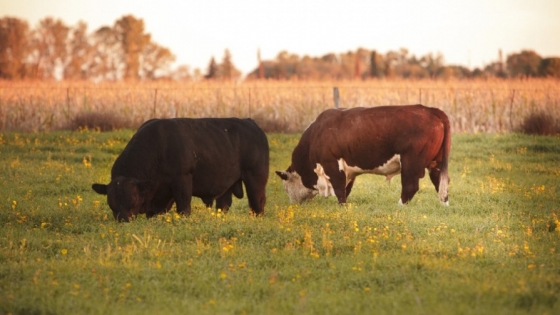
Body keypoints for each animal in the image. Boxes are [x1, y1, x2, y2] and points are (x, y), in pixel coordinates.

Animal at [92, 118, 270, 222]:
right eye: (111, 201)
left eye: (133, 199)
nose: (124, 220)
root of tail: (251, 123)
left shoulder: (182, 179)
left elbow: (184, 207)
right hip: (226, 184)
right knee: (223, 204)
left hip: (255, 179)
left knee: (257, 204)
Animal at [276, 105, 450, 206]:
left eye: (285, 187)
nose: (293, 204)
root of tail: (429, 109)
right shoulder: (348, 171)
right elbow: (346, 189)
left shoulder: (332, 164)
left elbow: (339, 189)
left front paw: (342, 207)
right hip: (436, 163)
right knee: (441, 183)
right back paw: (444, 204)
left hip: (411, 163)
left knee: (410, 186)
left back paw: (399, 206)